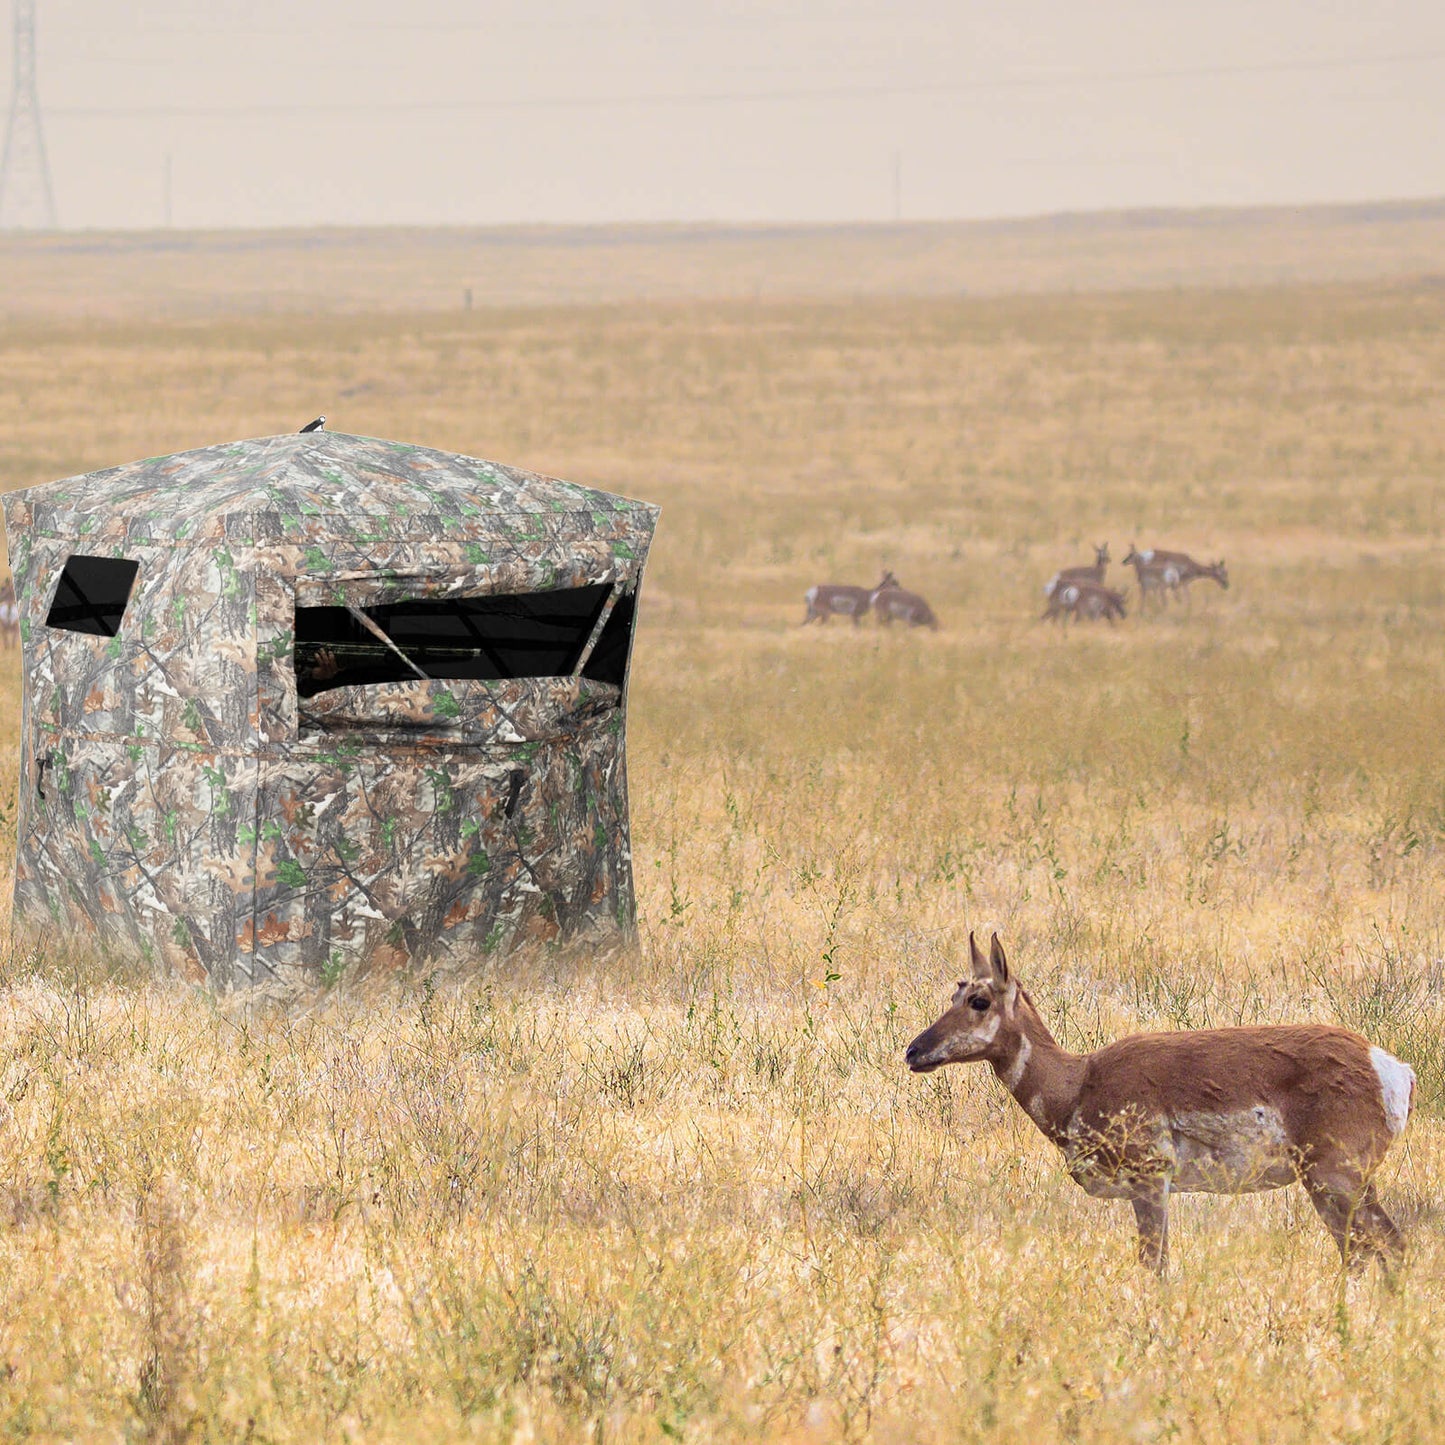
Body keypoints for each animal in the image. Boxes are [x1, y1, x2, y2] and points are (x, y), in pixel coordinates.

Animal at [906, 933, 1414, 1277]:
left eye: (979, 999)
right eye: (954, 991)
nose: (913, 1051)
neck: (1079, 1081)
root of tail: (1390, 1065)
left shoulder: (1150, 1179)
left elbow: (1154, 1265)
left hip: (1334, 1178)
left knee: (1379, 1246)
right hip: (1342, 1182)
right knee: (1375, 1249)